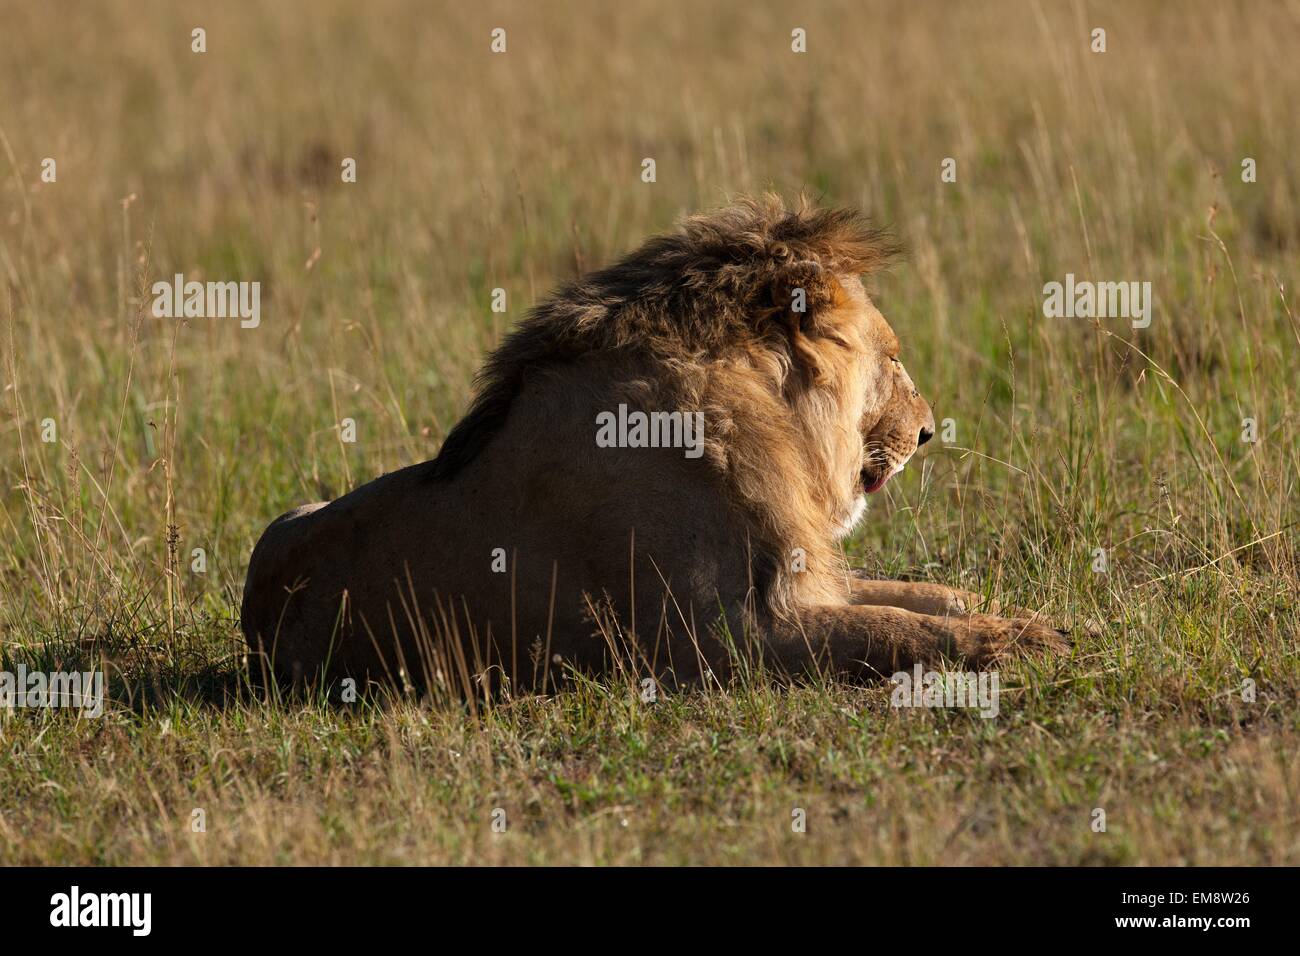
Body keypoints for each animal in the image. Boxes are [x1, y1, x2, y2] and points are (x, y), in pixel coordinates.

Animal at [241, 195, 1068, 691]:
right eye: (892, 356)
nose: (927, 431)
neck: (768, 412)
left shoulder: (804, 582)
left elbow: (918, 595)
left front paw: (1026, 615)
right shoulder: (727, 637)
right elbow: (896, 632)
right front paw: (1019, 644)